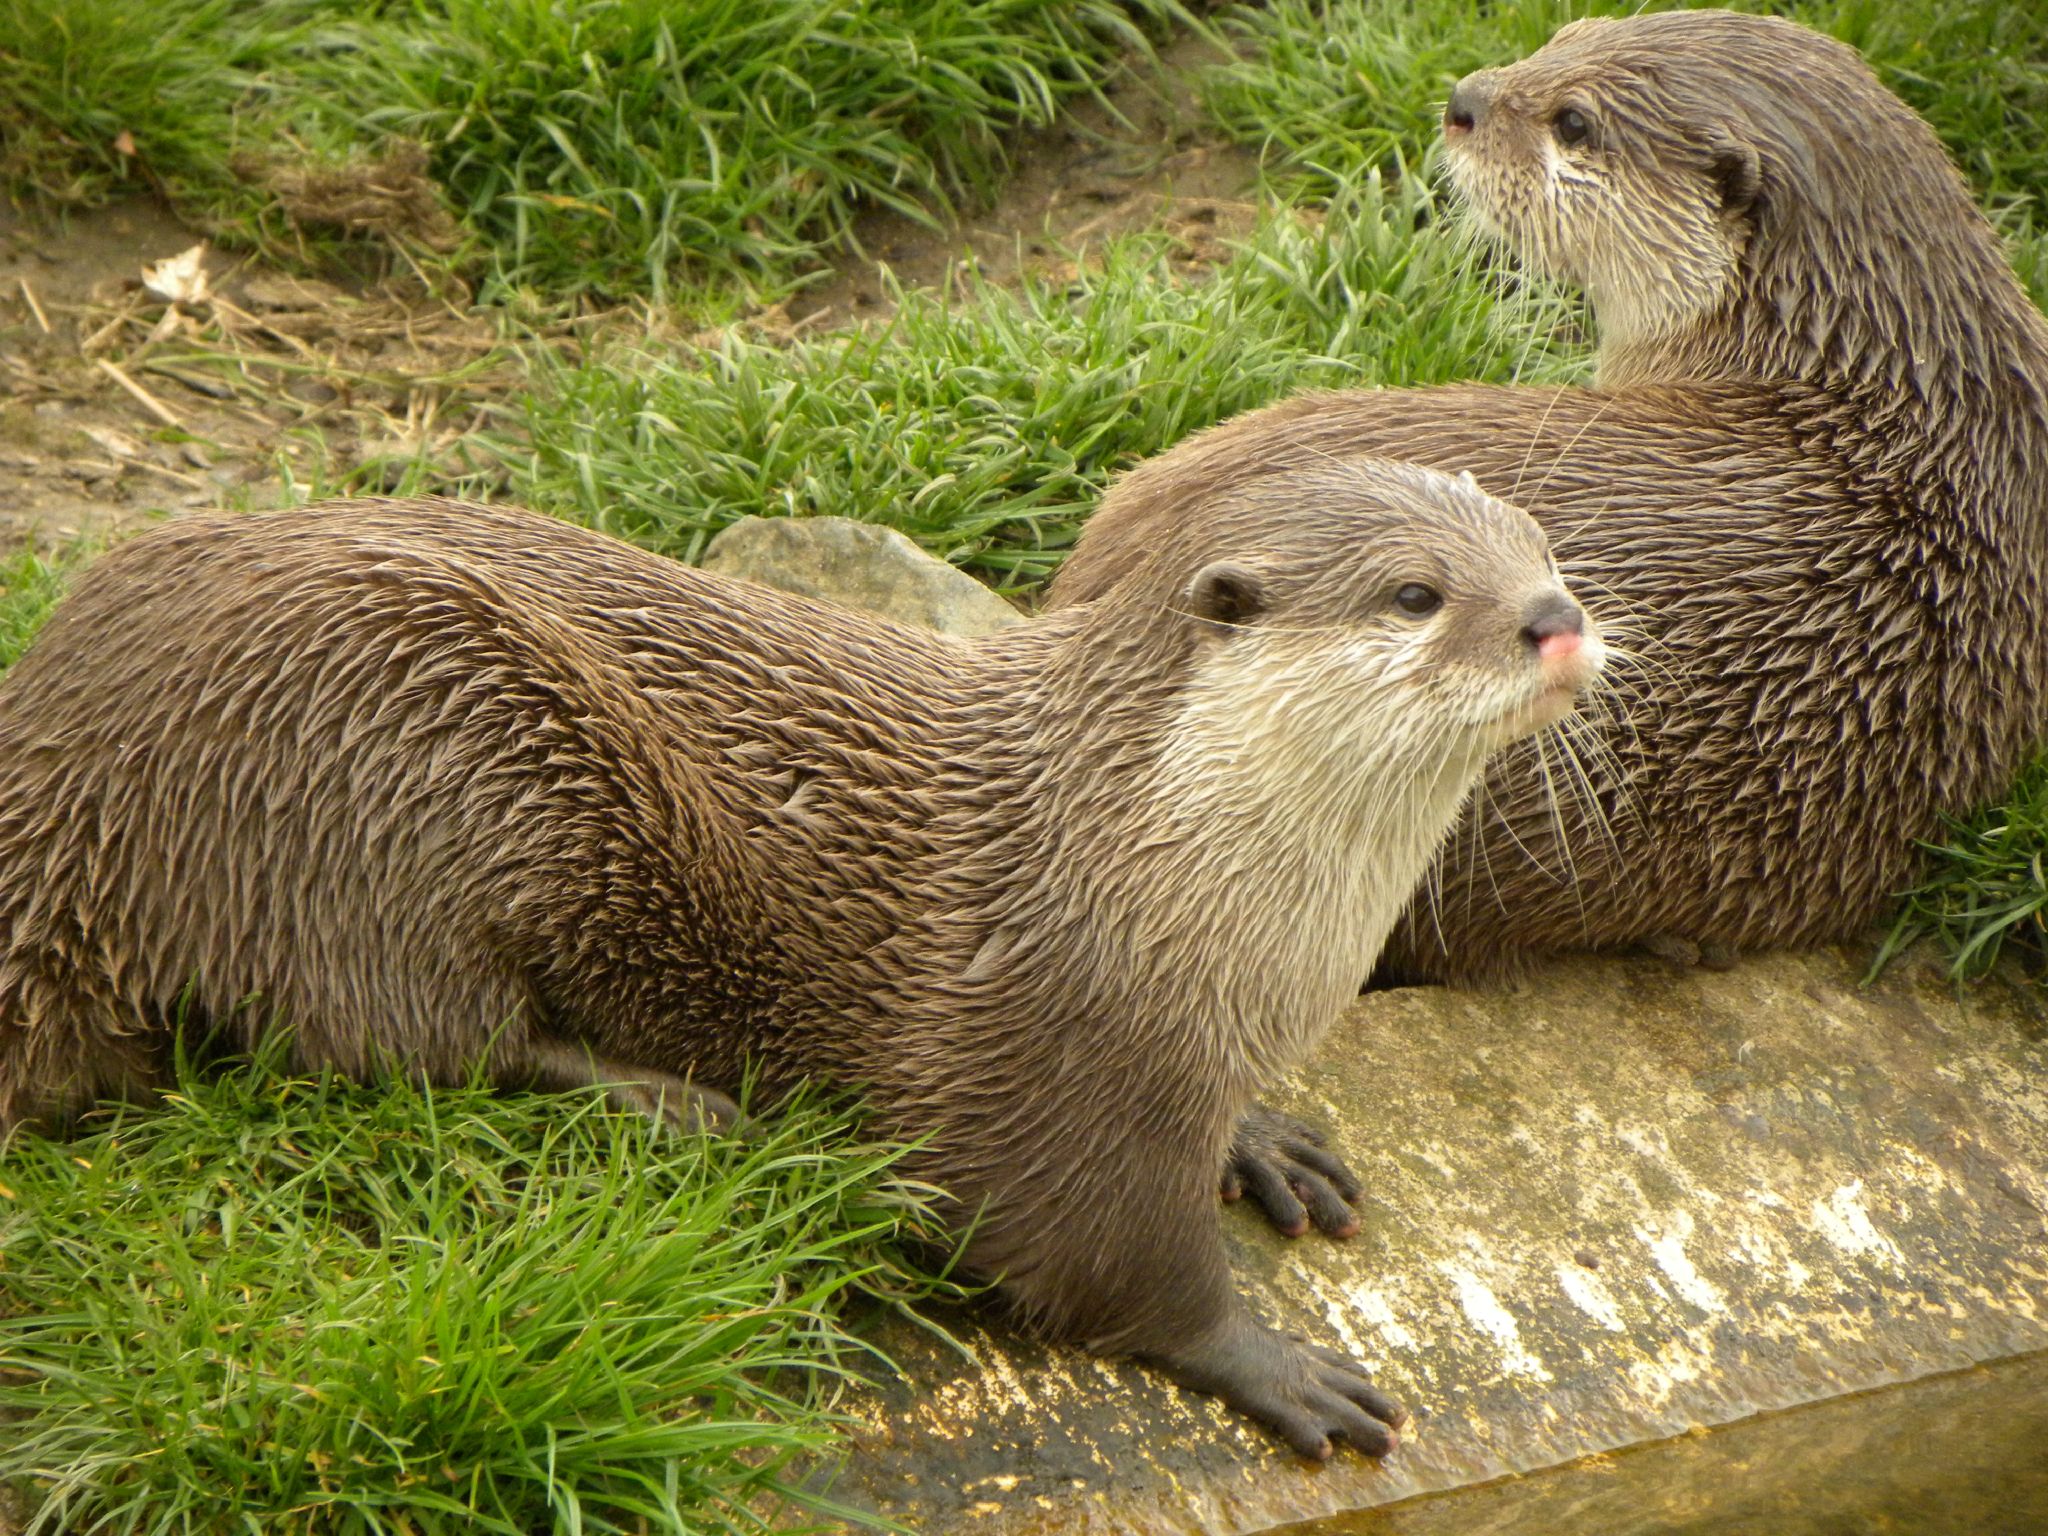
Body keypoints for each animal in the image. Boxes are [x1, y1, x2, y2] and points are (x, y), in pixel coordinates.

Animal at [0, 475, 1597, 1458]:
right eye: (1413, 595)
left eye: (1544, 553)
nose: (1555, 619)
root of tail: (60, 759)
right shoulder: (1045, 1053)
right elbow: (1092, 1252)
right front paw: (1267, 1360)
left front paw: (1261, 1139)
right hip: (402, 760)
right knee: (408, 1043)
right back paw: (680, 1107)